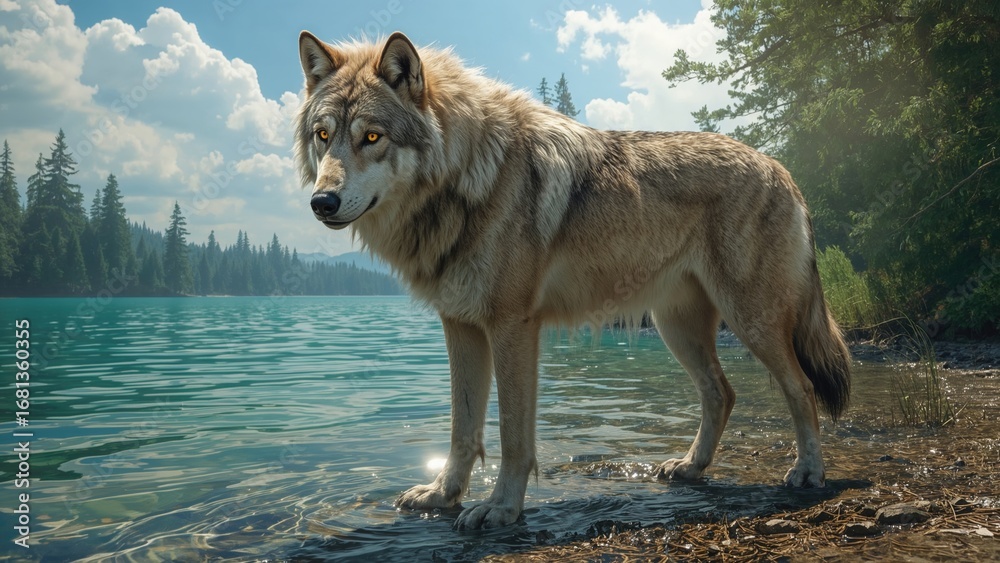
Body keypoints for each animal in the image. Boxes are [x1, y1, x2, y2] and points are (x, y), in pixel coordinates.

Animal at [294, 31, 851, 530]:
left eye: (371, 136)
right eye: (324, 135)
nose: (321, 203)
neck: (467, 179)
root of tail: (781, 169)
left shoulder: (512, 327)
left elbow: (512, 436)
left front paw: (500, 509)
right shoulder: (460, 326)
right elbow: (462, 429)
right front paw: (442, 495)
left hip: (750, 321)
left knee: (801, 387)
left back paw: (807, 473)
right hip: (677, 328)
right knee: (722, 393)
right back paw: (690, 467)